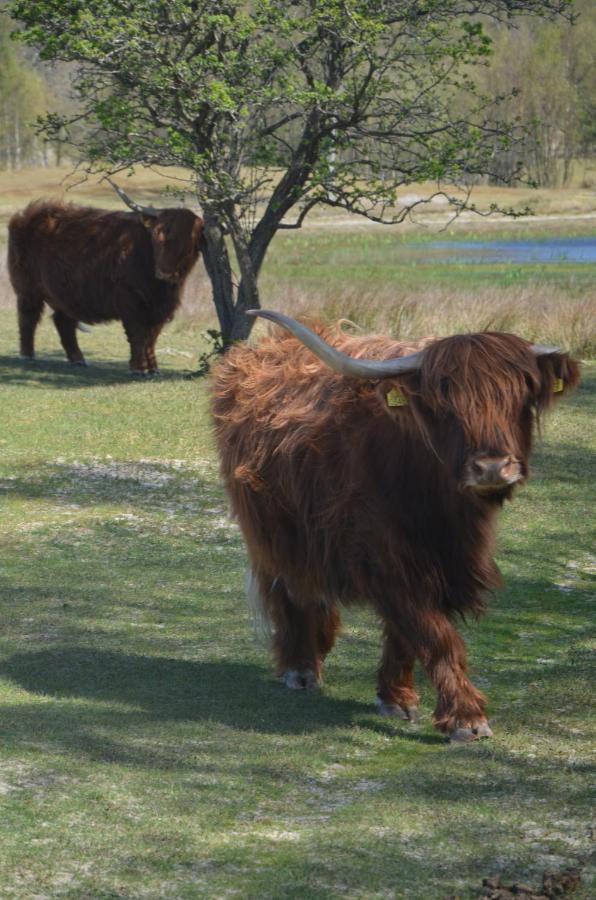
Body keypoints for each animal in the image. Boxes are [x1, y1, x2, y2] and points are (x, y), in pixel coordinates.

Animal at [8, 183, 204, 372]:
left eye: (189, 243)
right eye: (157, 237)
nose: (164, 272)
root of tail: (26, 213)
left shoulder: (161, 307)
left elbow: (152, 337)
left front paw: (154, 368)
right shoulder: (130, 301)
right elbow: (138, 334)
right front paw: (138, 368)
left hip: (65, 293)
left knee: (63, 321)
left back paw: (78, 359)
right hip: (27, 287)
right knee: (28, 316)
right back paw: (27, 354)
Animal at [212, 310, 580, 740]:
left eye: (521, 394)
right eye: (445, 402)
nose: (492, 467)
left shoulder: (447, 559)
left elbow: (408, 632)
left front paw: (397, 698)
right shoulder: (387, 557)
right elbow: (435, 633)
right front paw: (467, 718)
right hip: (273, 531)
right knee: (291, 589)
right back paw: (300, 668)